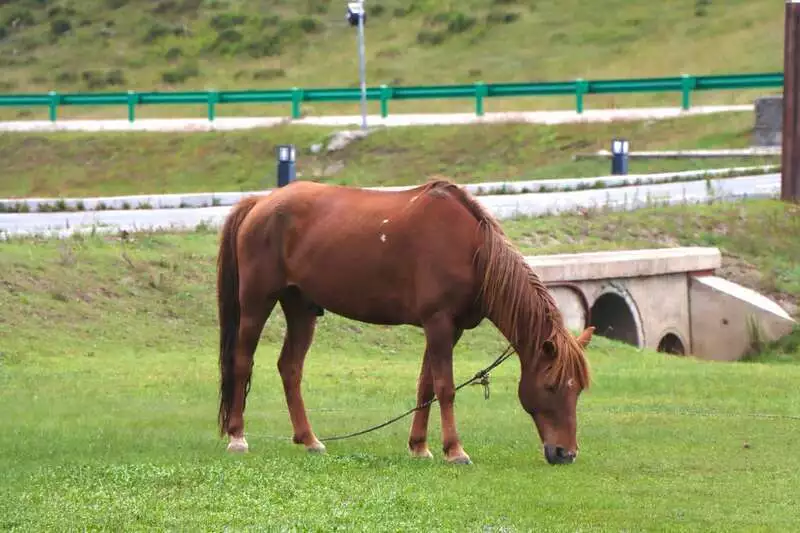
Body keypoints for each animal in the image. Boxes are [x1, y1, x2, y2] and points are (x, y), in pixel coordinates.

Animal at [216, 177, 592, 464]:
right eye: (551, 386)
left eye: (578, 390)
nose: (566, 453)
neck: (471, 249)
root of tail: (260, 202)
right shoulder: (438, 323)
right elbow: (445, 387)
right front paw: (455, 450)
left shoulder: (448, 329)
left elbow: (426, 385)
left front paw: (419, 446)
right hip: (256, 303)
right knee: (242, 361)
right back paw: (237, 437)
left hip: (301, 308)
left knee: (290, 368)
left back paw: (309, 439)